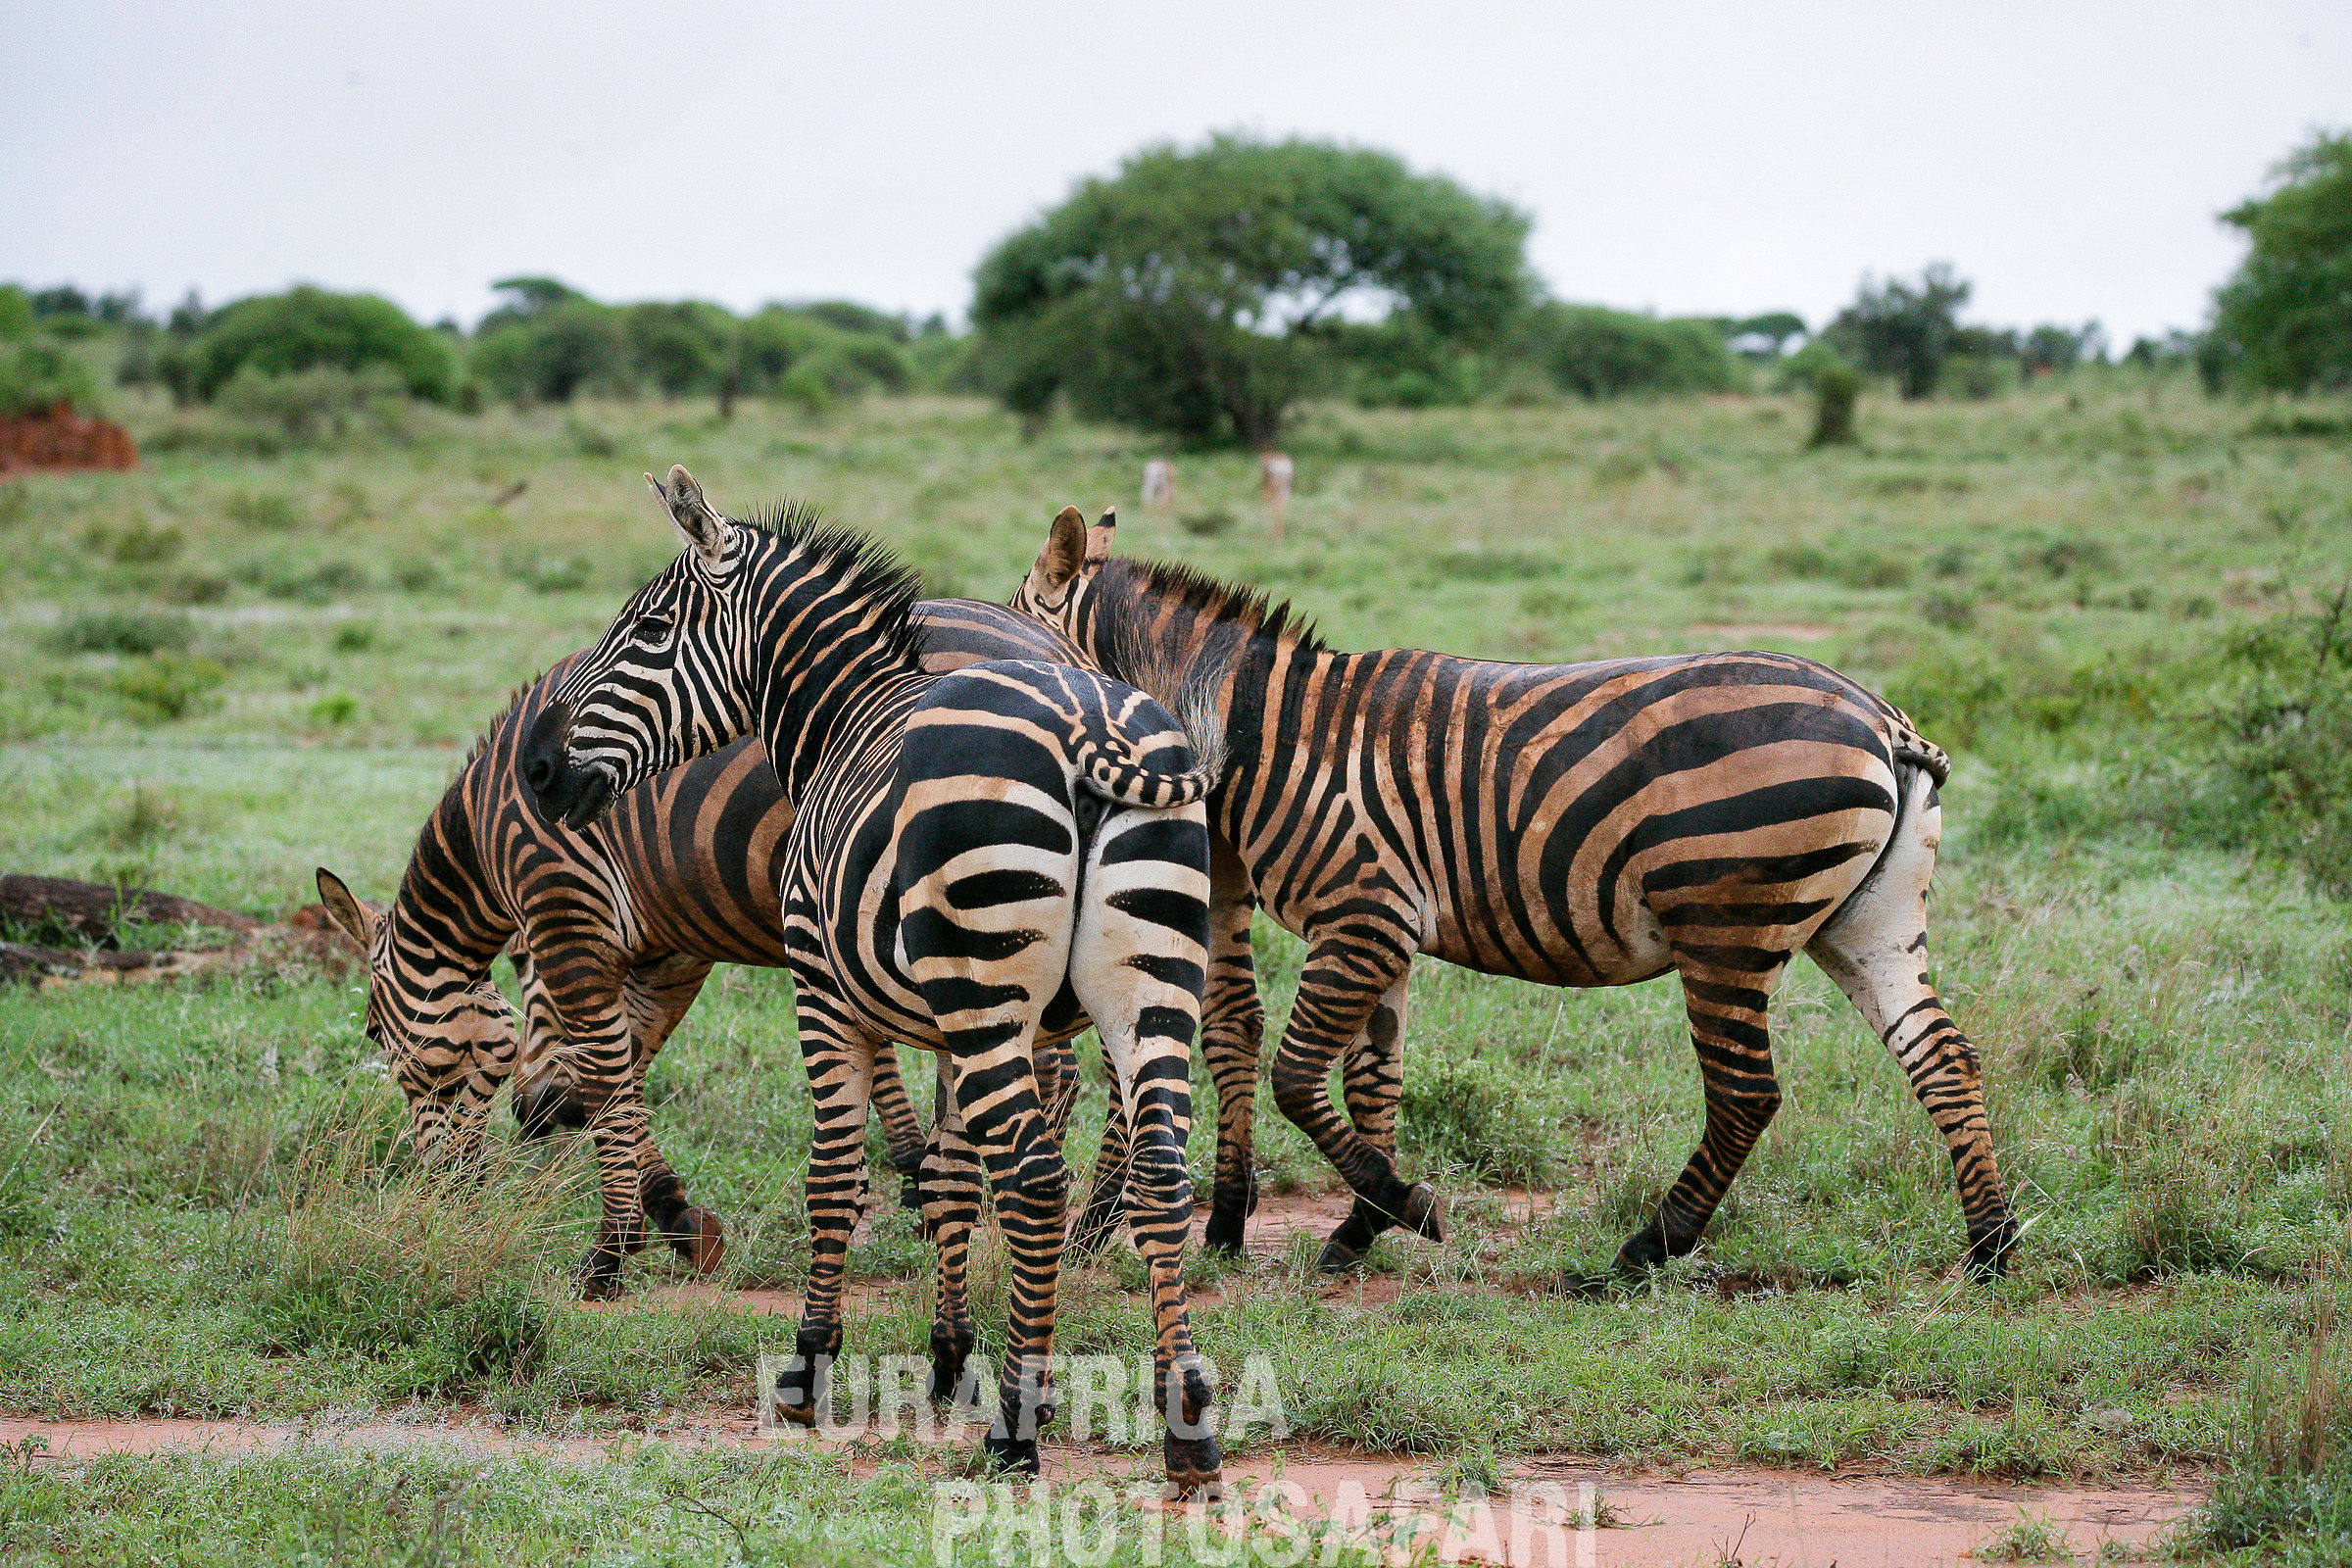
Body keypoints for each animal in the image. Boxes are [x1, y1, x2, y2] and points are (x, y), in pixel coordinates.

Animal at [313, 598, 1106, 1298]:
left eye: (374, 1032)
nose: (439, 1194)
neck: (486, 833)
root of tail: (1058, 650)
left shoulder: (566, 913)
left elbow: (606, 1083)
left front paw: (613, 1252)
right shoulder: (668, 953)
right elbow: (622, 1080)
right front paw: (674, 1215)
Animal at [520, 466, 1223, 1487]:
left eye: (648, 629)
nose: (537, 771)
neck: (844, 715)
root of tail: (1089, 727)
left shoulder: (819, 988)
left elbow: (836, 1175)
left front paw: (812, 1364)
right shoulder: (954, 1026)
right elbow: (950, 1181)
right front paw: (949, 1358)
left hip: (992, 993)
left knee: (1036, 1179)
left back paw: (1018, 1430)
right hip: (1148, 991)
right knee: (1160, 1175)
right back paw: (1188, 1428)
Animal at [1010, 506, 2020, 1280]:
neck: (1259, 730)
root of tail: (1883, 721)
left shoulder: (1359, 919)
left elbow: (1298, 1078)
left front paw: (1407, 1206)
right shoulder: (1384, 932)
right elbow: (1374, 1082)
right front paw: (1363, 1226)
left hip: (1725, 929)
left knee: (1746, 1096)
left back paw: (1646, 1250)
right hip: (1866, 922)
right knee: (1943, 1058)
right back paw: (1992, 1248)